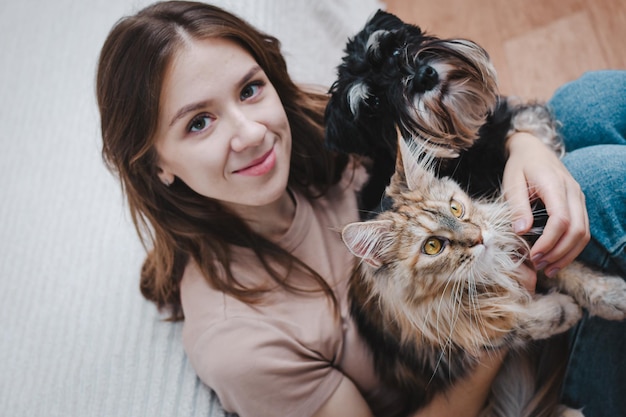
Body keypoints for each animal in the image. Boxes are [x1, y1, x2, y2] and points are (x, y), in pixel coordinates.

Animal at [342, 139, 624, 416]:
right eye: (432, 246)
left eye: (456, 208)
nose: (478, 237)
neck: (486, 275)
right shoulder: (456, 335)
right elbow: (515, 320)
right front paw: (565, 310)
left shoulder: (519, 253)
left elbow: (568, 271)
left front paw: (613, 295)